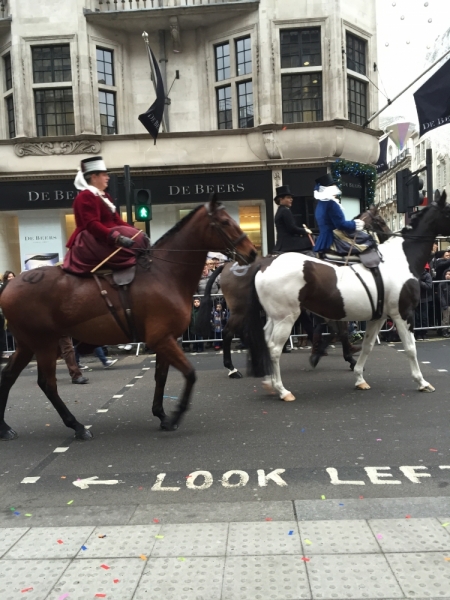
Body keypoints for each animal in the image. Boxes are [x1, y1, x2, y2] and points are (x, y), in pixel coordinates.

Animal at [0, 197, 256, 440]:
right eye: (224, 222)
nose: (252, 252)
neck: (164, 274)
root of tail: (9, 286)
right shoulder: (162, 339)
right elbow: (190, 374)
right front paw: (175, 416)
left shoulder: (166, 340)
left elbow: (161, 376)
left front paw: (161, 415)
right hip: (43, 343)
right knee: (48, 384)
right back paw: (78, 427)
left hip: (28, 344)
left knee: (9, 374)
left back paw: (5, 427)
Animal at [246, 192, 450, 398]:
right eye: (379, 220)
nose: (384, 233)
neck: (400, 258)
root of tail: (265, 264)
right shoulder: (403, 313)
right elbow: (410, 348)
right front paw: (422, 382)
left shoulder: (379, 316)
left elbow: (367, 346)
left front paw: (359, 378)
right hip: (286, 318)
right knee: (274, 349)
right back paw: (282, 390)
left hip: (275, 317)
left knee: (266, 343)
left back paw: (270, 382)